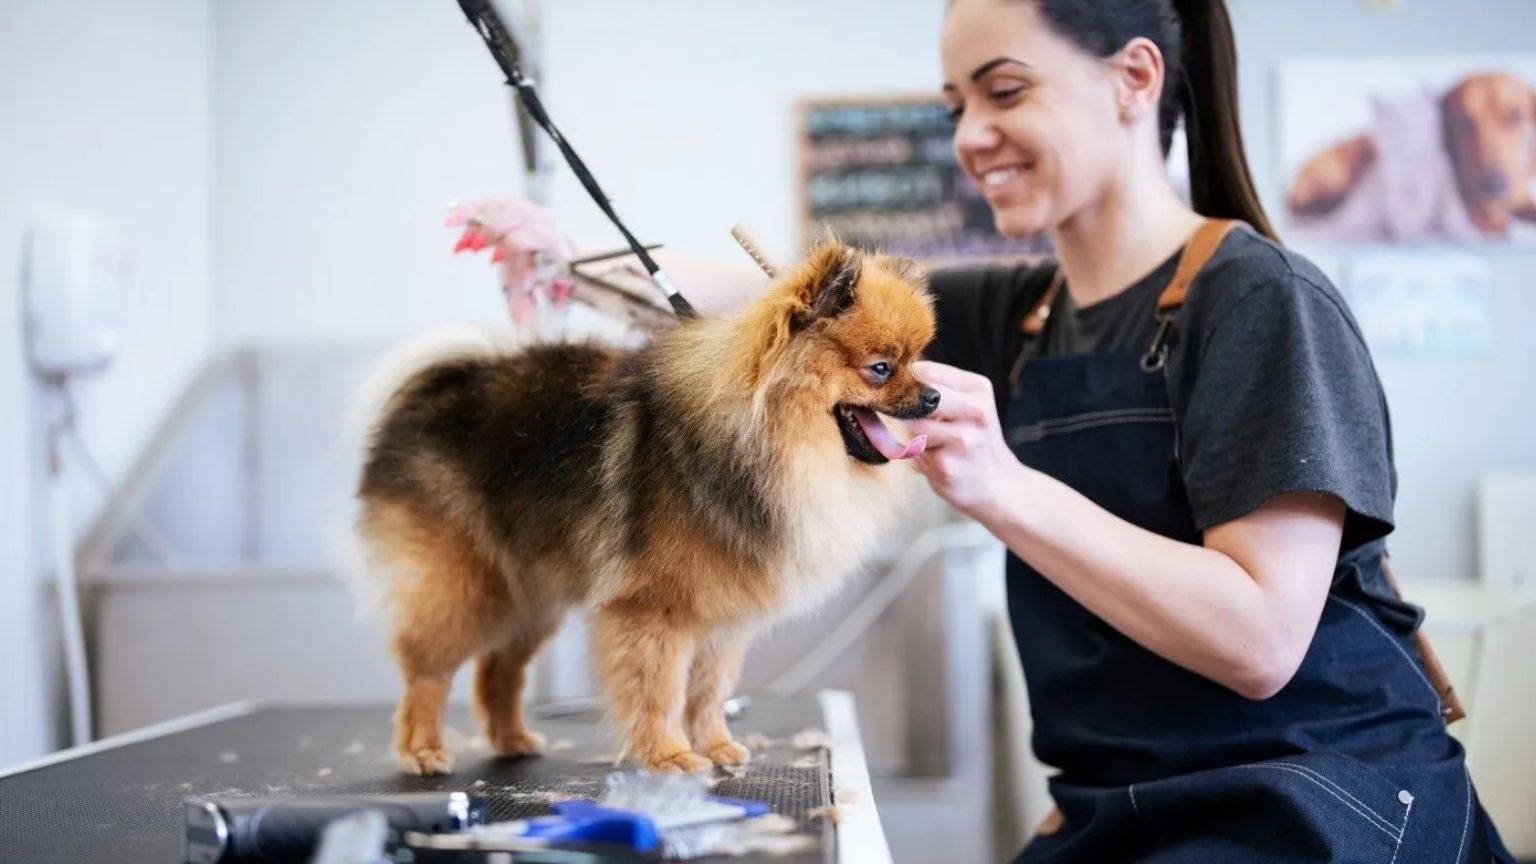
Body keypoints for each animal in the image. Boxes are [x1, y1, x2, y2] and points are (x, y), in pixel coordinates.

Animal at [354, 238, 940, 768]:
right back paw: (422, 748)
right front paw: (668, 755)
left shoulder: (723, 617)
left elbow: (708, 690)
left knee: (499, 667)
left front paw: (717, 746)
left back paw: (512, 740)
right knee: (427, 667)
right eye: (881, 368)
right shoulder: (653, 608)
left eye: (918, 361)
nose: (934, 396)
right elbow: (658, 689)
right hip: (462, 585)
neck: (765, 441)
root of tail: (440, 385)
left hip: (531, 592)